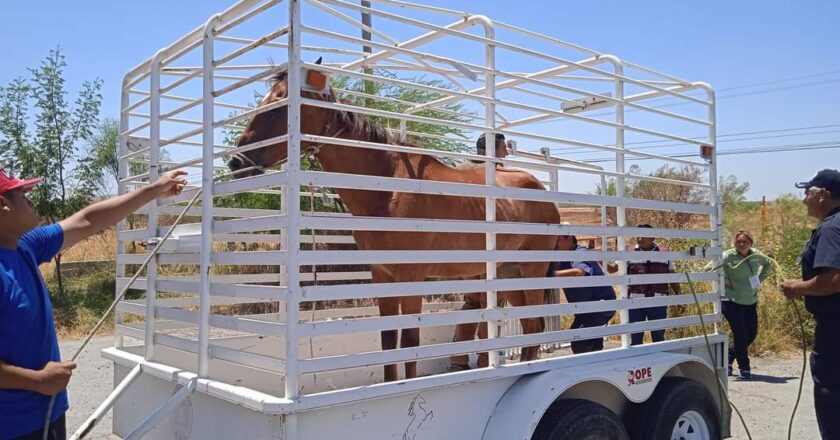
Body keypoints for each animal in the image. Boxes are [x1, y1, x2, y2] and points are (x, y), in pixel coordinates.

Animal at [226, 62, 560, 382]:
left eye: (279, 105)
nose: (235, 162)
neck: (386, 188)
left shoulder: (411, 276)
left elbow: (410, 341)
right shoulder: (383, 275)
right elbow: (388, 341)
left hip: (532, 269)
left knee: (534, 324)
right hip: (508, 272)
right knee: (530, 324)